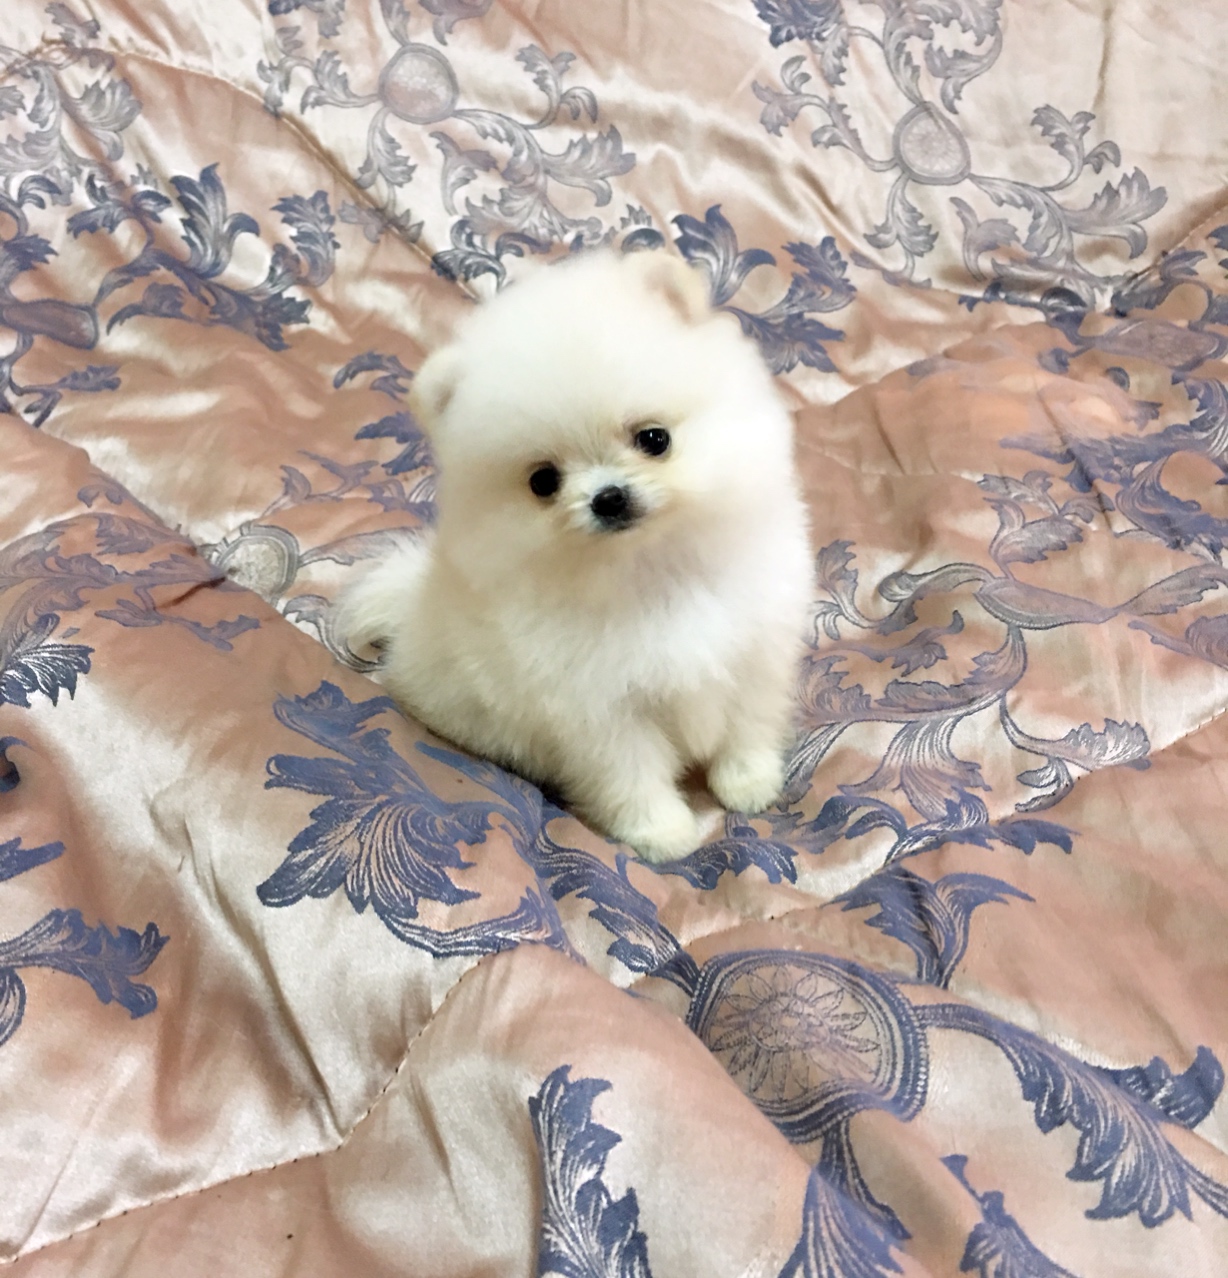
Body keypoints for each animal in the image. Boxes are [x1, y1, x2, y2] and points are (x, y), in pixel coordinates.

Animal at [341, 249, 812, 862]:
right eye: (543, 481)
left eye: (654, 439)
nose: (608, 496)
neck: (651, 573)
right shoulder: (601, 712)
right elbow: (631, 775)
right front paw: (662, 834)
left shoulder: (755, 653)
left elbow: (748, 726)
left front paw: (749, 783)